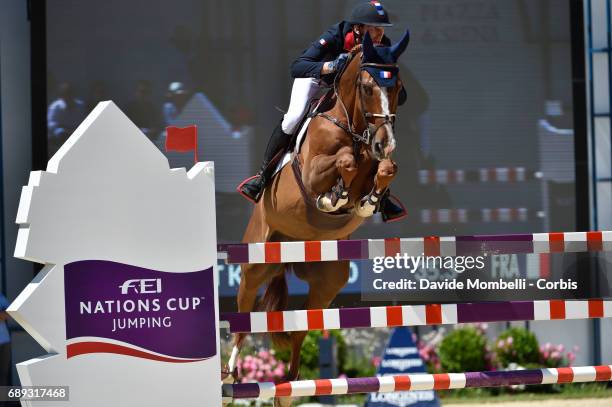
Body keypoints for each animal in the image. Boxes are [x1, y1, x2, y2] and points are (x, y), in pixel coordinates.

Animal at [227, 30, 408, 406]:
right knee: (245, 312)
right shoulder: (311, 173)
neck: (355, 127)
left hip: (329, 282)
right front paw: (335, 195)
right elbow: (344, 162)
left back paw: (289, 386)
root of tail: (293, 251)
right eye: (367, 86)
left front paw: (368, 200)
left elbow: (385, 170)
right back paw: (233, 370)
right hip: (256, 262)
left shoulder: (377, 161)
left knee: (301, 330)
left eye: (398, 88)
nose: (385, 143)